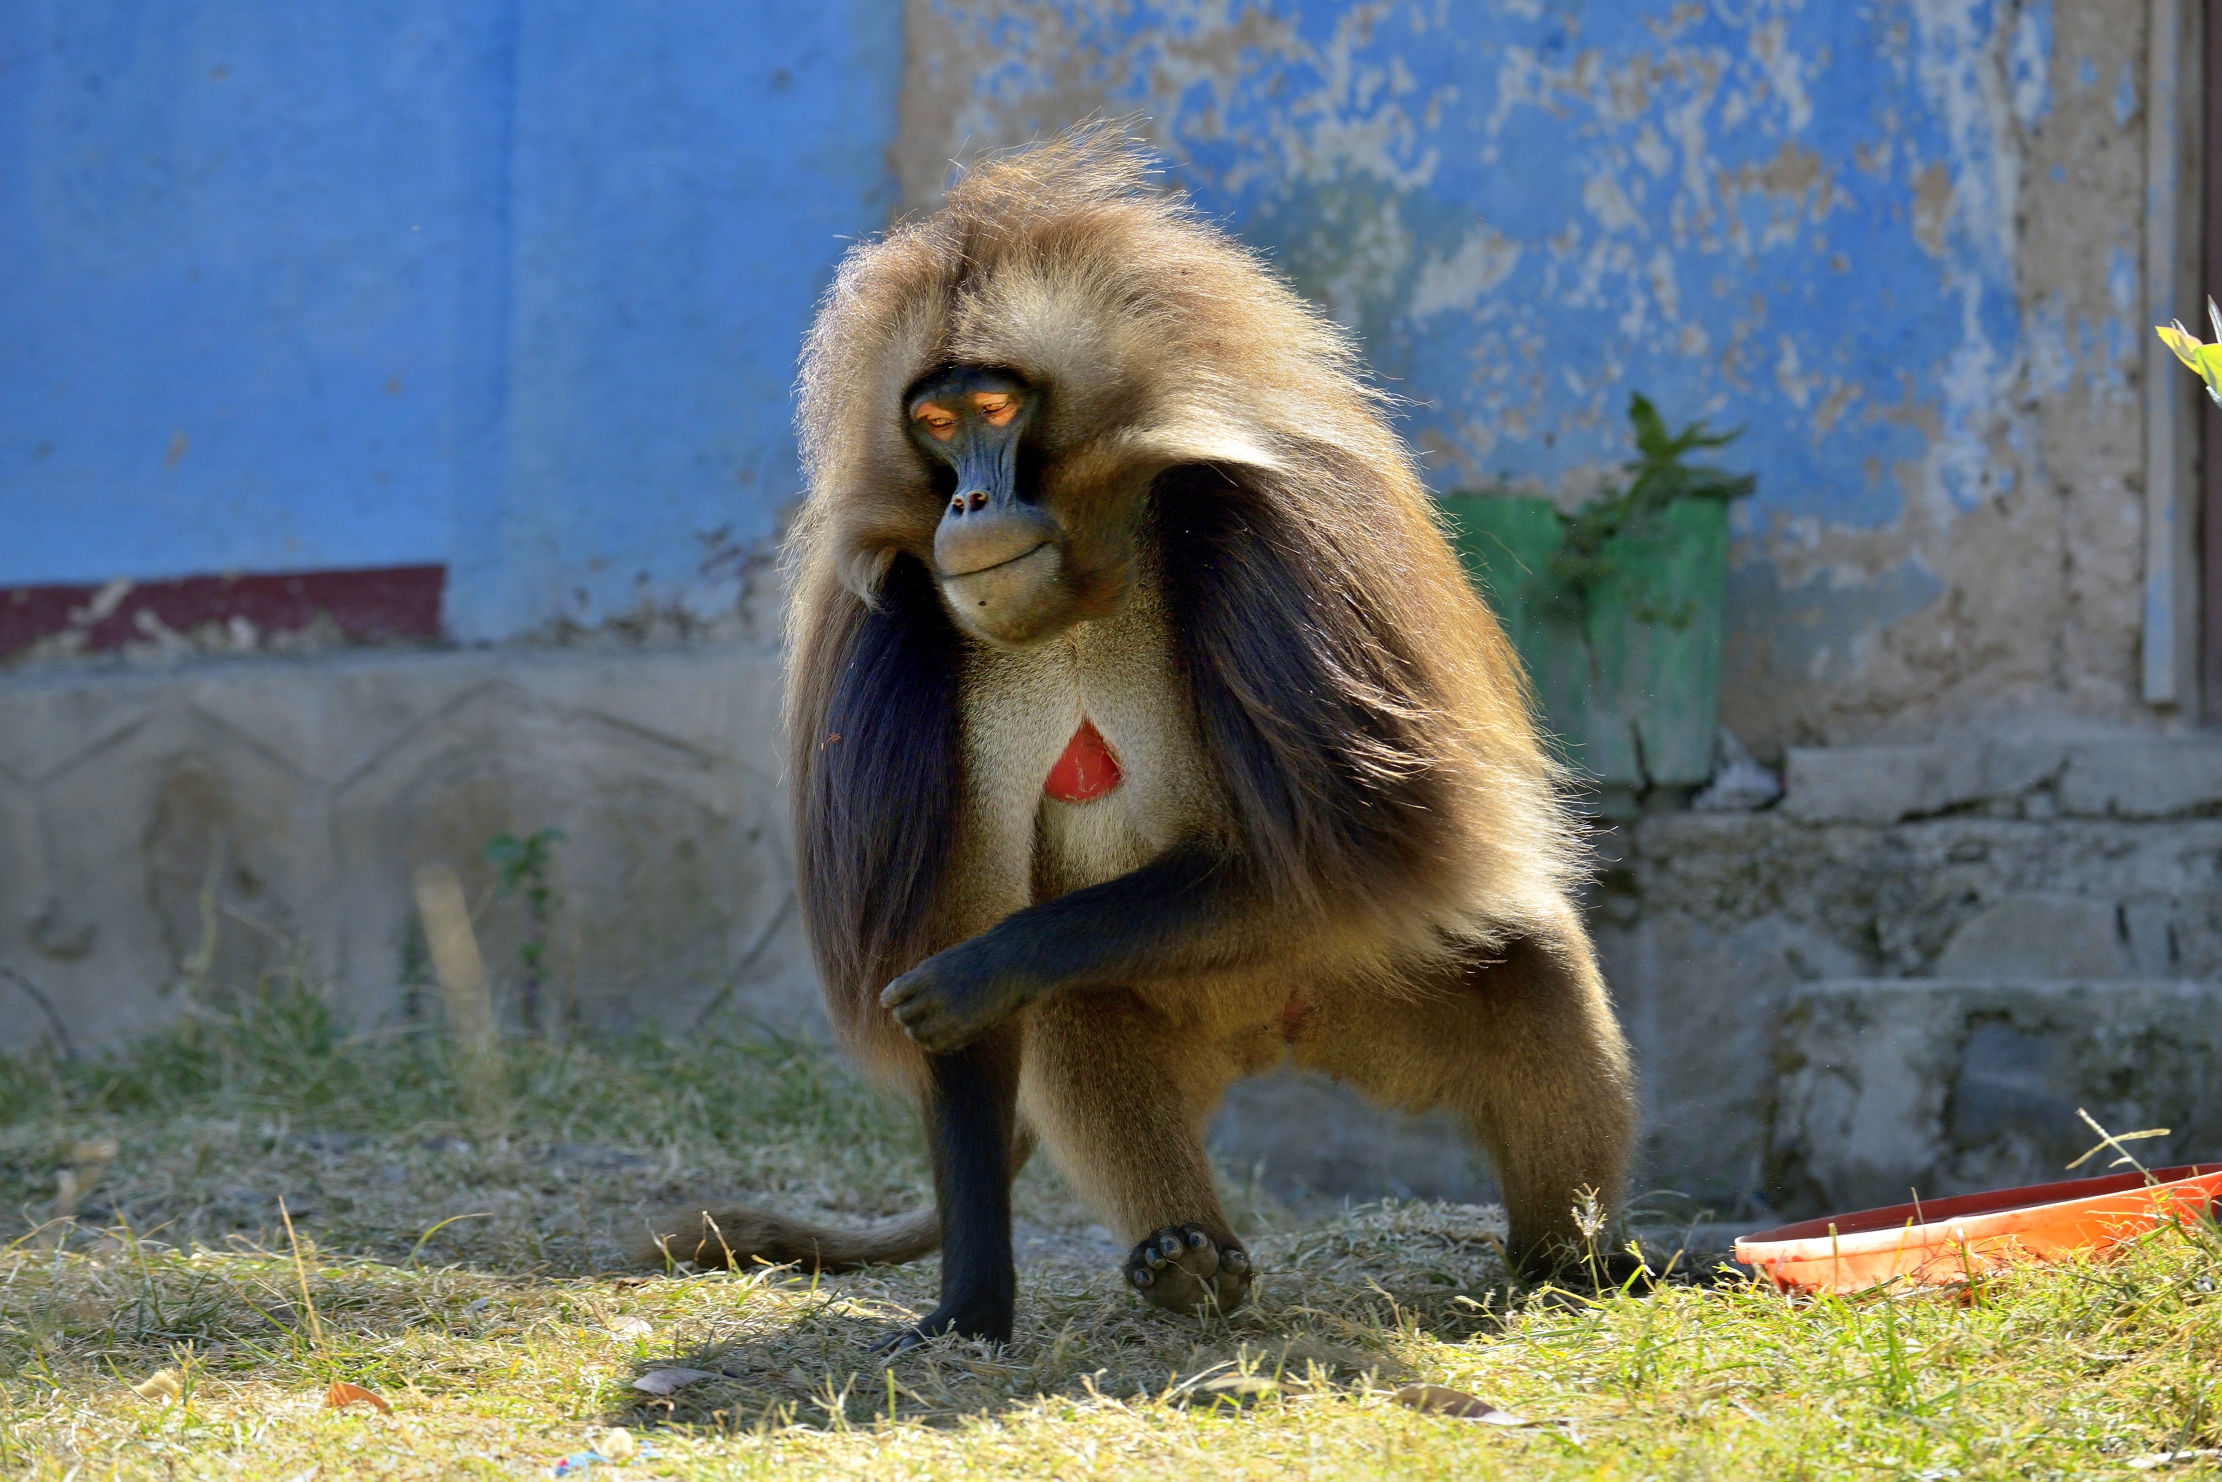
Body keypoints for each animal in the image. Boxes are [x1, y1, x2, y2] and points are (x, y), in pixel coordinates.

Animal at [637, 127, 1638, 1350]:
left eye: (996, 407)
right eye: (934, 426)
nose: (965, 506)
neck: (1082, 594)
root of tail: (1271, 1037)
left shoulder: (1269, 543)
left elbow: (1354, 847)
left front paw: (964, 979)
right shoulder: (895, 634)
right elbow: (961, 950)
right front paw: (971, 1304)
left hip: (1357, 979)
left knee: (1519, 961)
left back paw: (1571, 1265)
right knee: (1068, 1000)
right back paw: (1187, 1264)